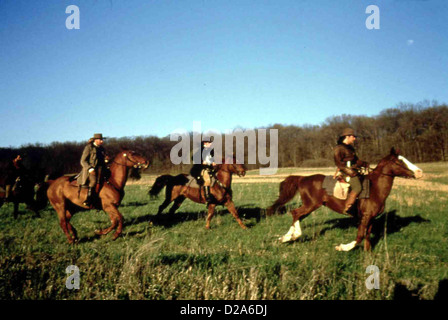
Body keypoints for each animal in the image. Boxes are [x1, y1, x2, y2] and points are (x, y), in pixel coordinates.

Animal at [268, 149, 422, 251]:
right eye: (398, 161)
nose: (419, 172)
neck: (375, 188)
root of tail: (302, 178)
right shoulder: (365, 217)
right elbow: (359, 236)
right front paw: (343, 247)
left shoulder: (371, 218)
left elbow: (367, 237)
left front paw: (368, 256)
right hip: (311, 205)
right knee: (295, 213)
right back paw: (292, 236)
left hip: (311, 205)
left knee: (297, 215)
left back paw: (286, 237)